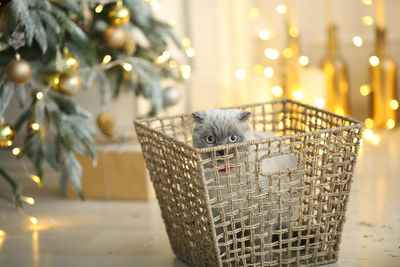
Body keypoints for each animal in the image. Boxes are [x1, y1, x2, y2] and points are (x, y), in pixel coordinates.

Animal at [191, 109, 300, 264]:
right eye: (210, 139)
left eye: (233, 138)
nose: (221, 151)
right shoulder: (220, 217)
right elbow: (223, 244)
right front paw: (227, 259)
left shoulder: (260, 216)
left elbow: (261, 244)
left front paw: (262, 261)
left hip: (286, 213)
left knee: (286, 233)